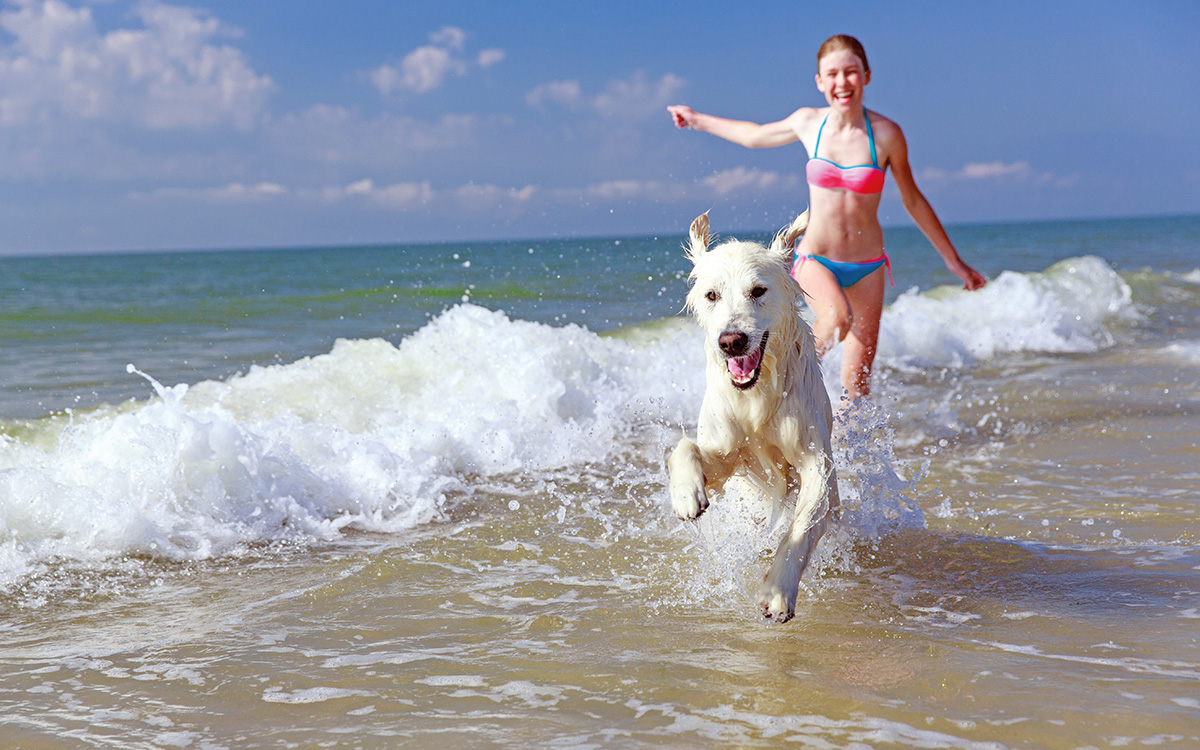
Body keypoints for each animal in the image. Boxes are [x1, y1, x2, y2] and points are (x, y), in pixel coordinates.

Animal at [672, 208, 840, 619]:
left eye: (758, 291)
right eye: (712, 294)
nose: (731, 342)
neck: (755, 397)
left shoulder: (817, 463)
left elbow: (804, 524)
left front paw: (779, 591)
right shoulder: (725, 455)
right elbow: (684, 447)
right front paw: (685, 493)